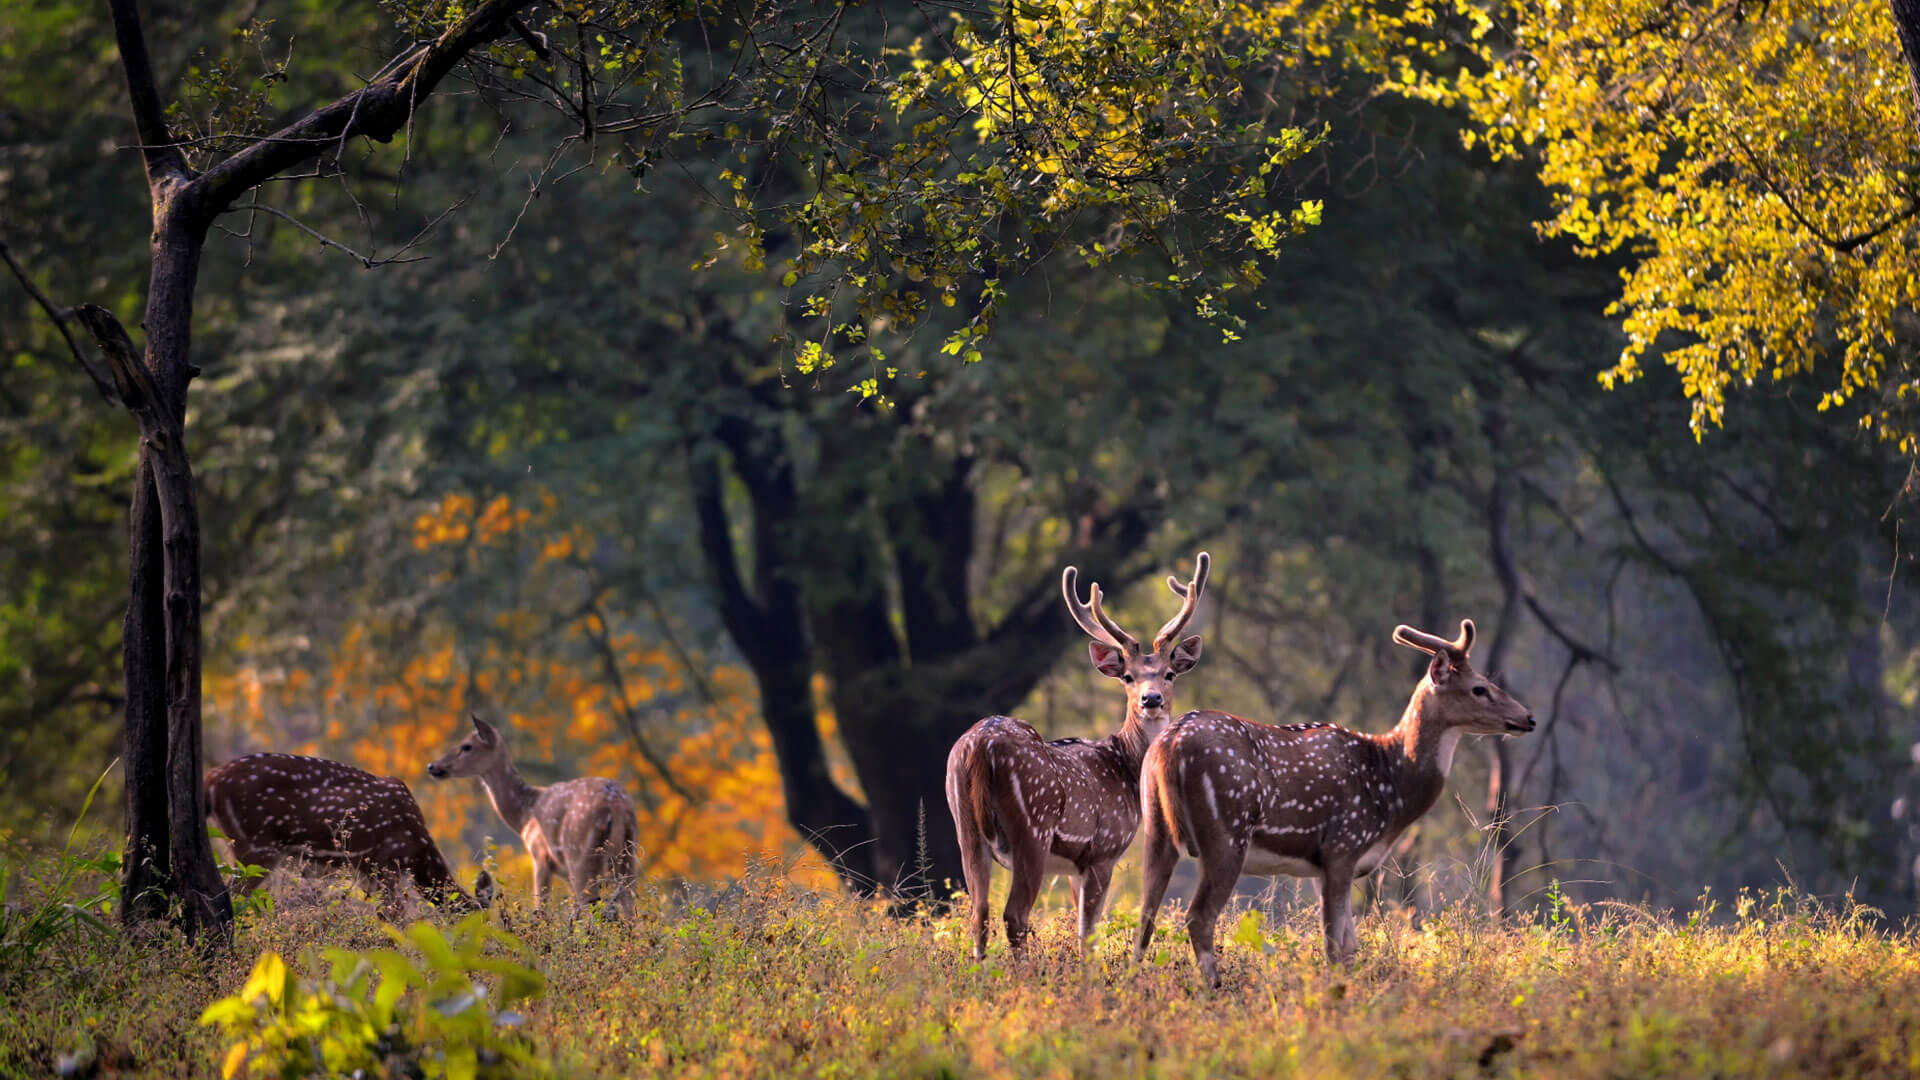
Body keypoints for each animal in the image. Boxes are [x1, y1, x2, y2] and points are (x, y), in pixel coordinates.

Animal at [204, 749, 495, 914]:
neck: (418, 853)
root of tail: (212, 779)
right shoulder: (385, 862)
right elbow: (394, 916)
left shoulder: (366, 871)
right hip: (256, 844)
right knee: (229, 896)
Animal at [426, 714, 637, 914]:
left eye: (467, 746)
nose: (432, 766)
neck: (524, 815)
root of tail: (615, 805)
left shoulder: (540, 857)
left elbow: (541, 908)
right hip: (627, 855)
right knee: (628, 903)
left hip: (579, 855)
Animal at [948, 549, 1213, 953]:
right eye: (1128, 677)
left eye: (1169, 674)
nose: (1151, 700)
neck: (1125, 767)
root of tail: (979, 747)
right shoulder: (1104, 849)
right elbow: (1089, 932)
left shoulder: (1075, 866)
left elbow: (1079, 927)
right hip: (1032, 829)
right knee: (1015, 915)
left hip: (964, 826)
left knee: (979, 914)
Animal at [1128, 618, 1536, 980]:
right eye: (1480, 688)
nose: (1528, 718)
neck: (1391, 789)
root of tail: (1169, 745)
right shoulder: (1343, 846)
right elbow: (1335, 946)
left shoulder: (1321, 864)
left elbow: (1350, 944)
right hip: (1226, 832)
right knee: (1198, 917)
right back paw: (1213, 987)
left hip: (1156, 828)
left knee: (1145, 913)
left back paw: (1133, 982)